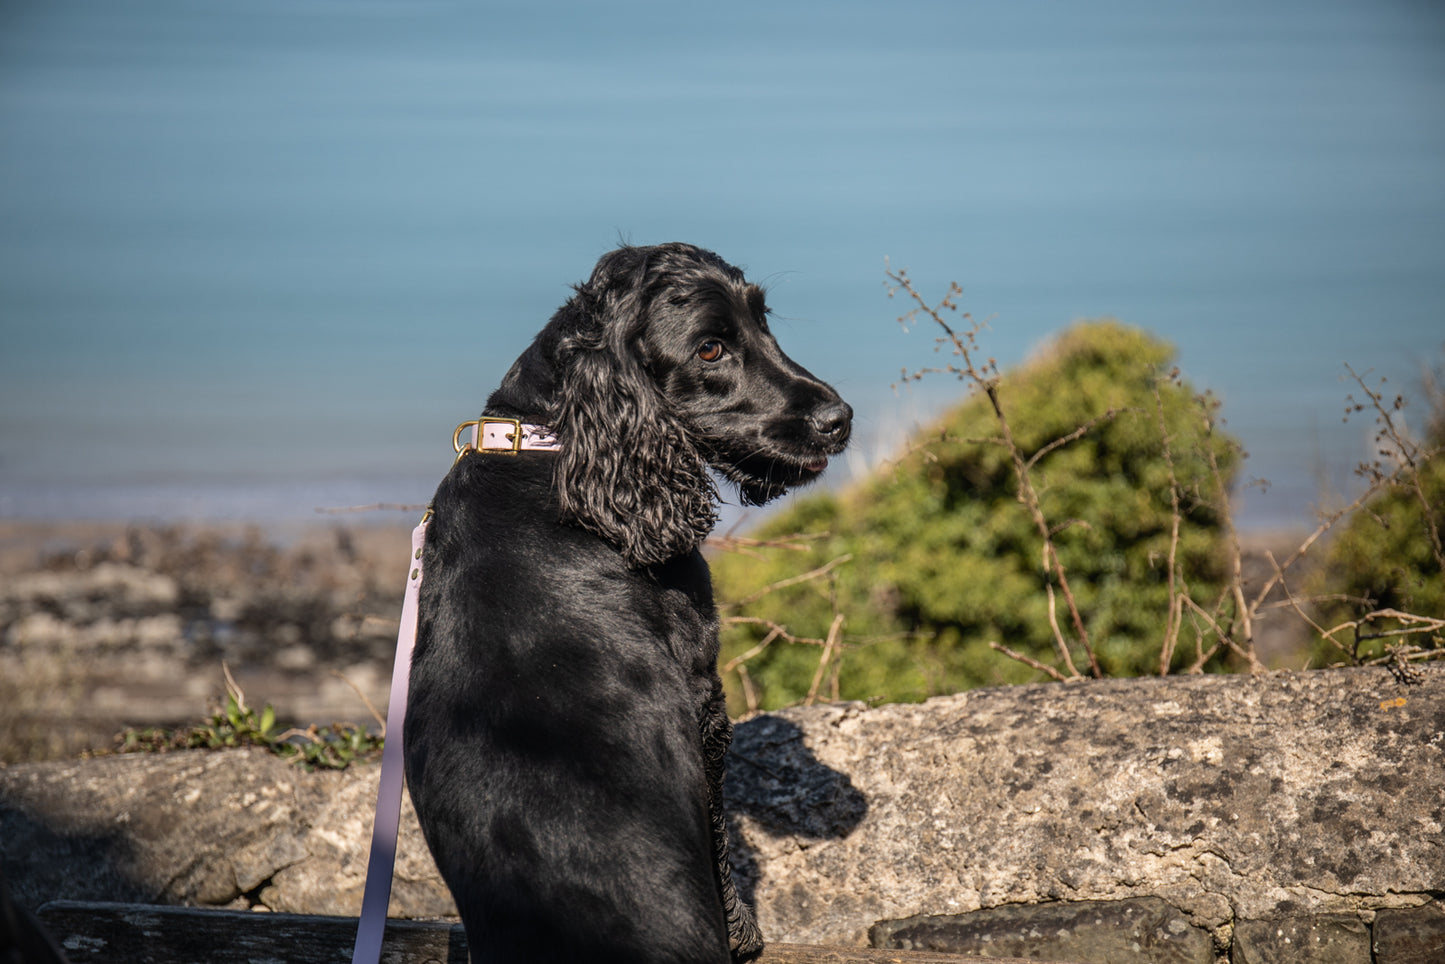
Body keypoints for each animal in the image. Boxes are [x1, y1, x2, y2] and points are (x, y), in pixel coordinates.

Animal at [401, 245, 849, 959]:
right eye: (711, 349)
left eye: (763, 322)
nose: (841, 419)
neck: (559, 448)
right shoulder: (701, 696)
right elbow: (718, 838)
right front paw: (745, 933)